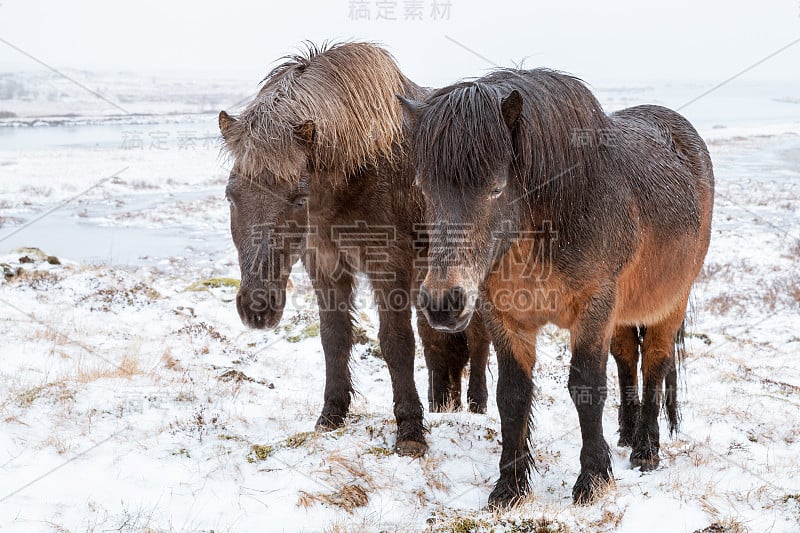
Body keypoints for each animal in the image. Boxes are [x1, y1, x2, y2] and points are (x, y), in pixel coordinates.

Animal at [219, 43, 494, 456]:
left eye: (298, 199)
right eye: (231, 196)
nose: (257, 307)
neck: (361, 161)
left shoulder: (389, 266)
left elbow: (396, 344)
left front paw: (410, 432)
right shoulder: (325, 263)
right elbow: (334, 337)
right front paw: (331, 415)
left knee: (478, 340)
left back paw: (477, 407)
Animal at [404, 69, 716, 502]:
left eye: (496, 188)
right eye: (424, 188)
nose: (442, 303)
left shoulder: (594, 307)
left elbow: (587, 388)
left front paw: (593, 479)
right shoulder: (505, 316)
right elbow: (513, 395)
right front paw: (510, 487)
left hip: (671, 304)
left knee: (654, 363)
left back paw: (645, 449)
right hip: (622, 314)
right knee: (626, 361)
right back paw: (624, 434)